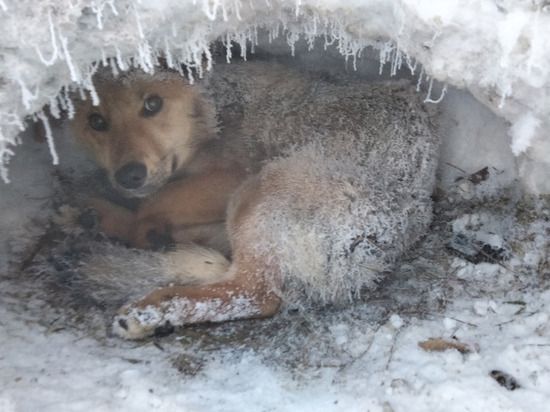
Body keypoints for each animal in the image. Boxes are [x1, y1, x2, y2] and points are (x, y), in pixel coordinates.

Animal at [70, 60, 440, 338]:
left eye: (152, 104)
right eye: (96, 121)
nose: (129, 175)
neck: (216, 109)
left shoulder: (232, 176)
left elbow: (152, 203)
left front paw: (133, 226)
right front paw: (93, 214)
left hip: (260, 191)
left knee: (252, 293)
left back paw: (152, 309)